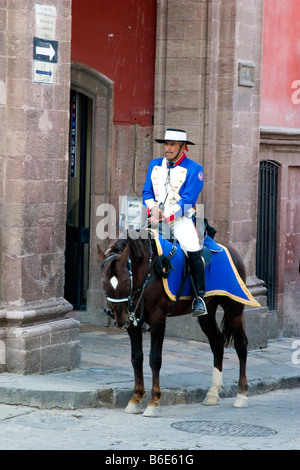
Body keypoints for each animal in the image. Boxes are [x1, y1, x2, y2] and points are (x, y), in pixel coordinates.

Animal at [97, 228, 250, 414]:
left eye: (126, 281)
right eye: (104, 283)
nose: (120, 319)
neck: (147, 272)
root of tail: (231, 250)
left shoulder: (158, 319)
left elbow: (155, 359)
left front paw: (154, 402)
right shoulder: (133, 322)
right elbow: (136, 358)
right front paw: (135, 398)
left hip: (234, 309)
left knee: (241, 346)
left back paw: (242, 395)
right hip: (207, 314)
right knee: (217, 344)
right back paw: (213, 393)